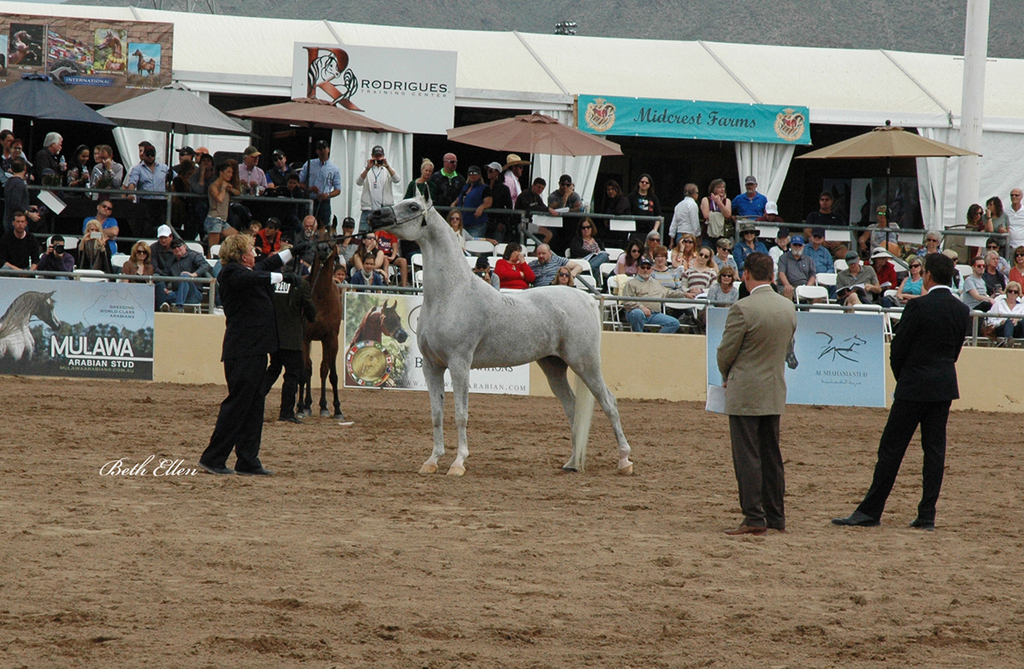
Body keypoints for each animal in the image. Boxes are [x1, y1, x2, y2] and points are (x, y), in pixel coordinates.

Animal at [299, 243, 345, 419]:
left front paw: (335, 409)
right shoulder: (305, 338)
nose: (324, 250)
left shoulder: (331, 339)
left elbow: (330, 373)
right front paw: (301, 408)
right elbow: (305, 371)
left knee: (321, 369)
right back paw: (304, 405)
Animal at [368, 192, 633, 476]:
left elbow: (460, 414)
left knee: (609, 402)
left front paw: (458, 463)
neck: (451, 294)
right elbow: (436, 414)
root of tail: (587, 300)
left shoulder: (459, 364)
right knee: (572, 408)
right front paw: (432, 461)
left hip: (586, 363)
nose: (375, 216)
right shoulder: (432, 366)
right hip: (554, 366)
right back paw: (572, 462)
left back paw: (624, 461)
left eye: (412, 206)